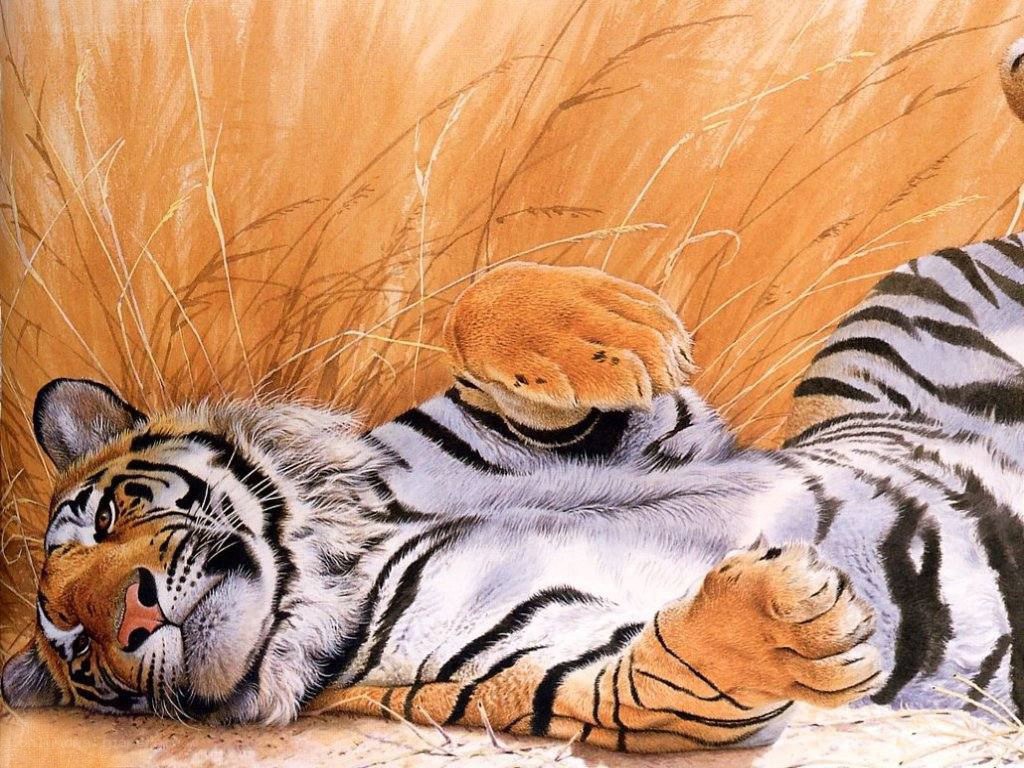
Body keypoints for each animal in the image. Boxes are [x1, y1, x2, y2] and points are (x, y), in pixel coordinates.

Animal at [2, 38, 1024, 755]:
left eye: (107, 517)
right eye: (76, 645)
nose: (130, 617)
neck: (329, 568)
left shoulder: (610, 431)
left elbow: (481, 307)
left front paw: (611, 330)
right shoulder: (555, 663)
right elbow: (668, 671)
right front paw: (784, 613)